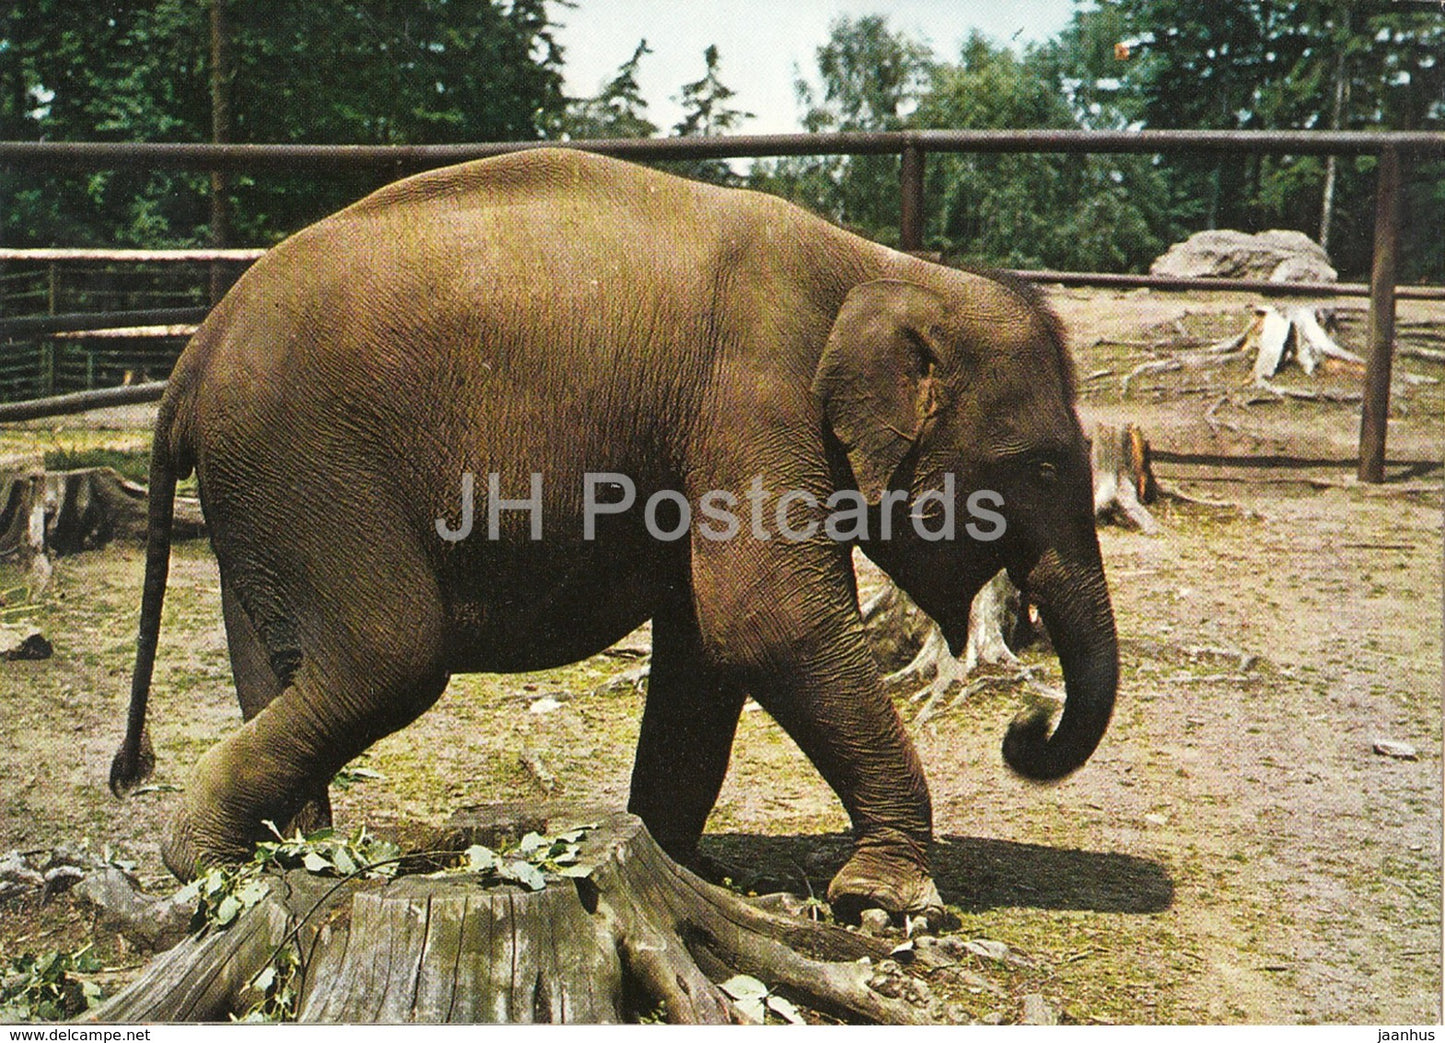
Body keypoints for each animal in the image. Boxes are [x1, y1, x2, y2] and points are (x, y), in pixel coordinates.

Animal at [110, 147, 1116, 924]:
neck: (881, 265)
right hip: (308, 465)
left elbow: (706, 652)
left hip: (258, 493)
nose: (1025, 731)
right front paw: (892, 904)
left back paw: (295, 855)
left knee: (279, 667)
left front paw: (684, 869)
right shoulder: (752, 403)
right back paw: (205, 857)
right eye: (1041, 467)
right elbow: (768, 621)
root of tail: (191, 359)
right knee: (388, 656)